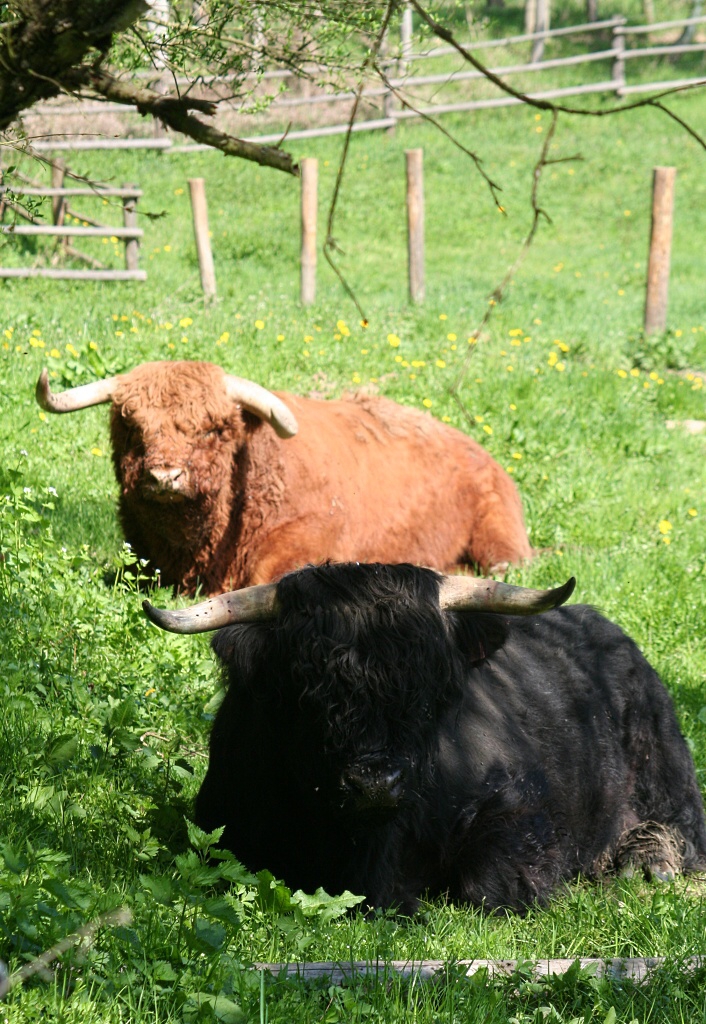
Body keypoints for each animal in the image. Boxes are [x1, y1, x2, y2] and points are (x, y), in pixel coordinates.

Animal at [144, 565, 704, 917]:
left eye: (431, 686)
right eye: (305, 685)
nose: (375, 782)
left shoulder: (522, 808)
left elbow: (489, 891)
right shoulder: (225, 825)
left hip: (665, 764)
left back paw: (647, 861)